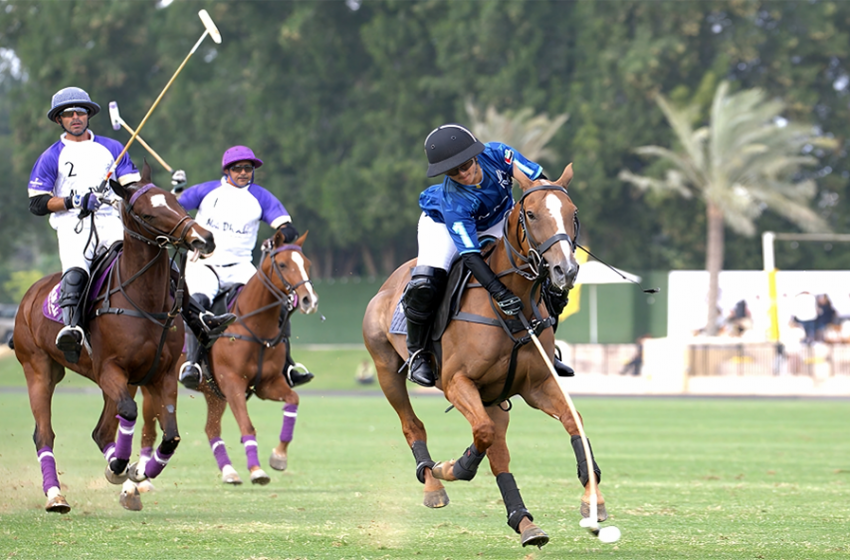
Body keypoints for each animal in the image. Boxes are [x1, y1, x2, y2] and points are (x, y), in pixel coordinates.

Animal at [12, 161, 215, 512]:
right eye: (147, 214)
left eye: (175, 202)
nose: (204, 238)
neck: (145, 301)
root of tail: (30, 293)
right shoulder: (110, 368)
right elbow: (131, 414)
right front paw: (121, 467)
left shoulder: (160, 375)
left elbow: (171, 436)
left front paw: (137, 472)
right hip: (38, 368)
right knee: (44, 434)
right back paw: (56, 495)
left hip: (122, 380)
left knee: (102, 431)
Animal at [141, 228, 320, 486]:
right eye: (283, 264)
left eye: (307, 263)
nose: (309, 300)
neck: (255, 327)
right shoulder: (233, 382)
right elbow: (247, 425)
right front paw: (256, 470)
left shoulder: (267, 384)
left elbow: (293, 400)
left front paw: (278, 456)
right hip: (151, 384)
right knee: (148, 430)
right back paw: (139, 481)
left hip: (214, 394)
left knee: (211, 429)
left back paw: (229, 472)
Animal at [362, 163, 608, 548]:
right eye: (531, 213)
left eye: (573, 213)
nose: (565, 271)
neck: (511, 300)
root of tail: (386, 286)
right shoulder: (456, 382)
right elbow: (483, 433)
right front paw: (454, 467)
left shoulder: (536, 385)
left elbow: (573, 421)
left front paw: (592, 499)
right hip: (386, 369)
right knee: (413, 424)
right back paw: (434, 484)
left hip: (494, 396)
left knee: (498, 448)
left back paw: (525, 523)